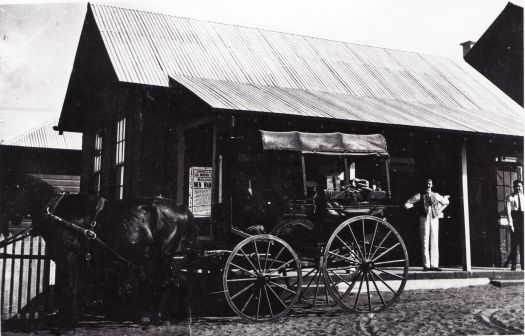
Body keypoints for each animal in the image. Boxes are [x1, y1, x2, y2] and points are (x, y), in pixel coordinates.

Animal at [2, 175, 196, 330]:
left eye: (8, 191)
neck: (57, 210)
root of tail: (182, 209)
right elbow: (69, 288)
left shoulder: (68, 257)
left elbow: (66, 288)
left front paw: (66, 324)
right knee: (174, 280)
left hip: (161, 257)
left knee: (170, 282)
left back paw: (159, 318)